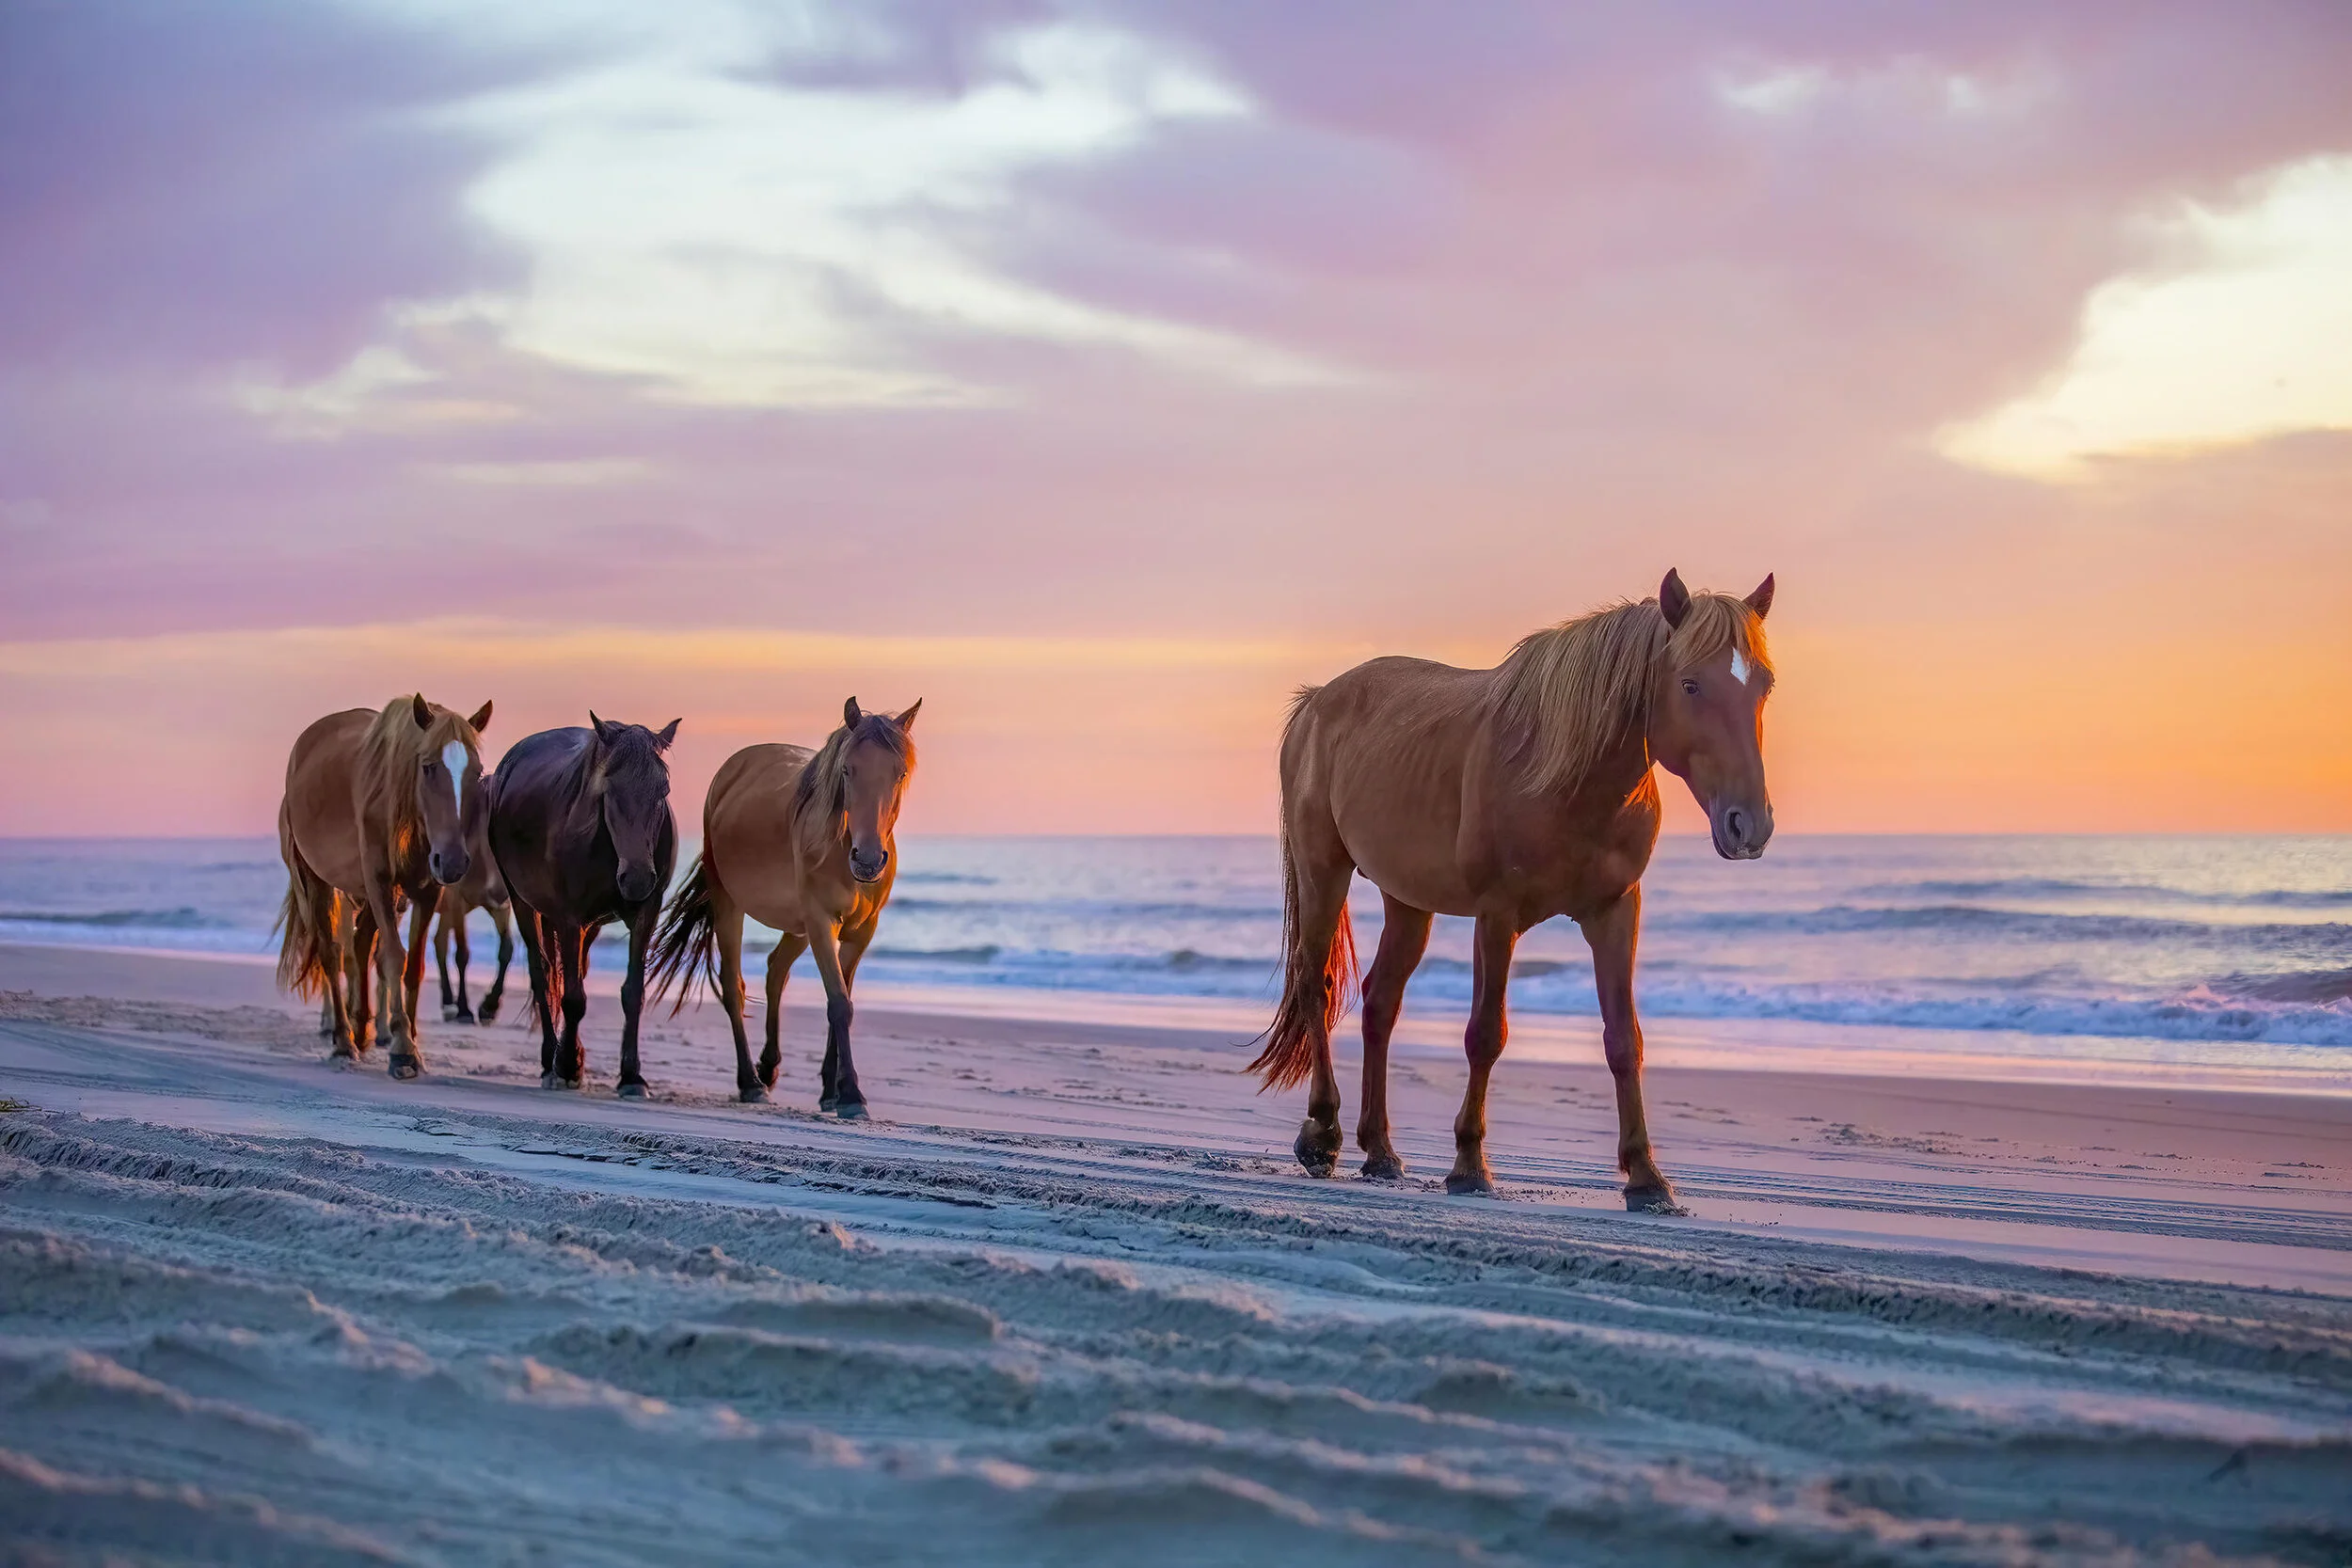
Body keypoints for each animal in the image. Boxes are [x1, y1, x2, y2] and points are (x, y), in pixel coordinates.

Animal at [276, 694, 493, 1078]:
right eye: (428, 767)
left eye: (478, 771)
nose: (453, 861)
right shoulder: (379, 881)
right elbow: (393, 956)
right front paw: (403, 1049)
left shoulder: (425, 891)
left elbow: (415, 966)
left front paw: (408, 1037)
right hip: (316, 882)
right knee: (332, 953)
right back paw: (344, 1040)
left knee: (360, 945)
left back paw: (362, 1029)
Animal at [486, 715, 680, 1097]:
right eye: (610, 790)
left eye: (662, 791)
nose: (637, 879)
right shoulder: (569, 918)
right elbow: (572, 998)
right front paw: (564, 1066)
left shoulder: (645, 913)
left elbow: (633, 993)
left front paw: (631, 1076)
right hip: (524, 903)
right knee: (542, 975)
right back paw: (550, 1059)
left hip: (589, 925)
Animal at [649, 697, 919, 1114]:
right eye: (847, 769)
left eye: (899, 773)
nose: (869, 861)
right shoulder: (821, 922)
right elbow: (839, 1004)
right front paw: (851, 1095)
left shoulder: (860, 932)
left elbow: (842, 998)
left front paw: (832, 1091)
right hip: (730, 903)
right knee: (733, 987)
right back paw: (750, 1082)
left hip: (798, 927)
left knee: (776, 969)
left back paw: (769, 1067)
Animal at [1249, 569, 1775, 1211]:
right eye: (1692, 684)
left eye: (1765, 685)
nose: (1748, 824)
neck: (1567, 775)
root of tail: (1315, 703)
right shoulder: (1497, 917)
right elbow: (1485, 1034)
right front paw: (1470, 1165)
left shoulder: (1615, 911)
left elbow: (1624, 1039)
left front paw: (1647, 1177)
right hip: (1323, 870)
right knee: (1316, 985)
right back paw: (1322, 1134)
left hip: (1408, 901)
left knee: (1379, 1003)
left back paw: (1381, 1152)